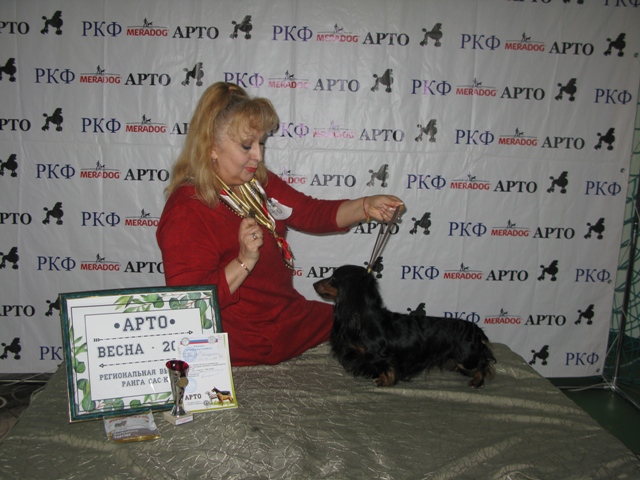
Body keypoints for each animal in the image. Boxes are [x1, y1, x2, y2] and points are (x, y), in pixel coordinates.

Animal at [313, 265, 496, 388]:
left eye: (333, 279)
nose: (314, 284)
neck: (363, 317)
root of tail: (476, 330)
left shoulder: (381, 356)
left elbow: (388, 368)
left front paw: (383, 380)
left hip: (466, 357)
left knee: (483, 363)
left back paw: (477, 381)